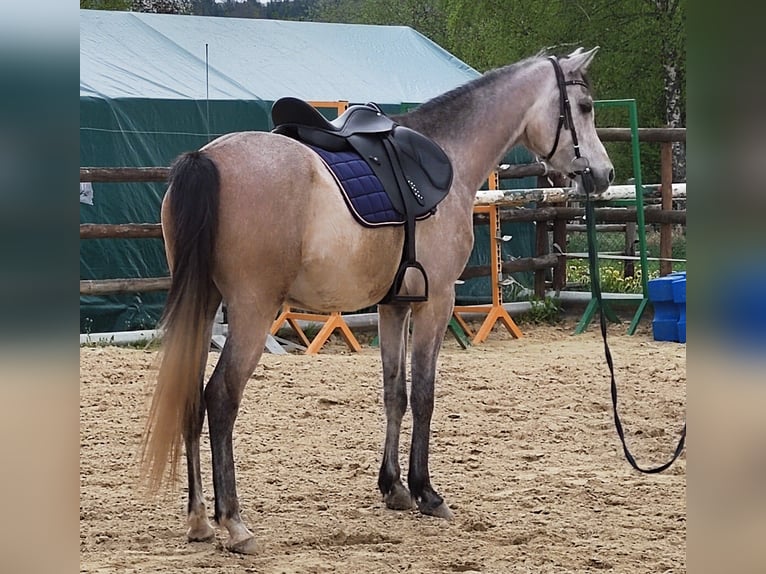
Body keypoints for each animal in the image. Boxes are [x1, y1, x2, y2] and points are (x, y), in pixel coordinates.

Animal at [140, 47, 614, 554]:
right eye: (585, 108)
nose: (603, 175)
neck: (450, 152)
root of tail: (205, 157)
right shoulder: (436, 303)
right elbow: (424, 395)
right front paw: (427, 492)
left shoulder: (395, 306)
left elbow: (394, 394)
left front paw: (394, 488)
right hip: (252, 311)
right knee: (221, 397)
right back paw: (234, 522)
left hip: (204, 304)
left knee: (191, 394)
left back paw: (199, 520)